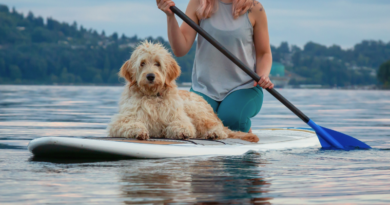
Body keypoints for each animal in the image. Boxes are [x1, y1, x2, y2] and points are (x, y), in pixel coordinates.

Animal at [106, 40, 258, 143]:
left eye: (157, 63)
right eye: (142, 63)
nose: (150, 76)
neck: (153, 96)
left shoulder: (179, 118)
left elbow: (181, 125)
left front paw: (181, 131)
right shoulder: (120, 122)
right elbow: (130, 124)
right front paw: (140, 131)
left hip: (196, 111)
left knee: (219, 129)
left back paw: (213, 133)